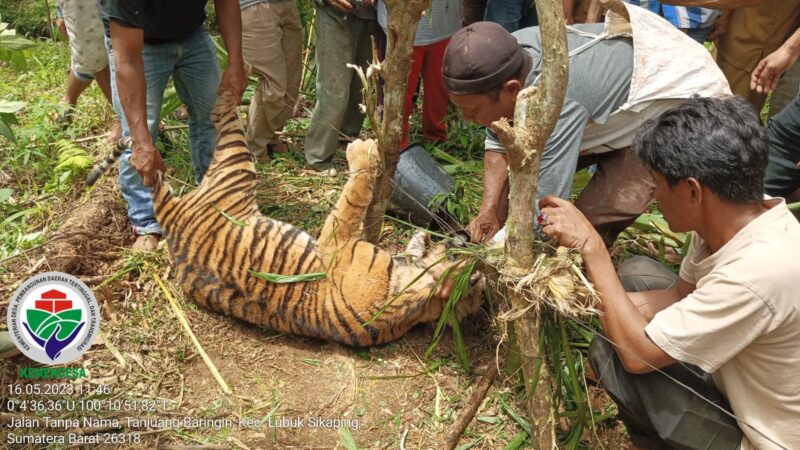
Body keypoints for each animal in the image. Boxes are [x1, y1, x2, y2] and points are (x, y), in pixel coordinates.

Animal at [149, 89, 482, 346]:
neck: (416, 301)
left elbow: (353, 198)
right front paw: (420, 237)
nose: (466, 236)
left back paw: (229, 87)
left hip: (236, 166)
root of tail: (170, 221)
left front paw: (362, 150)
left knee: (222, 115)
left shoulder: (338, 244)